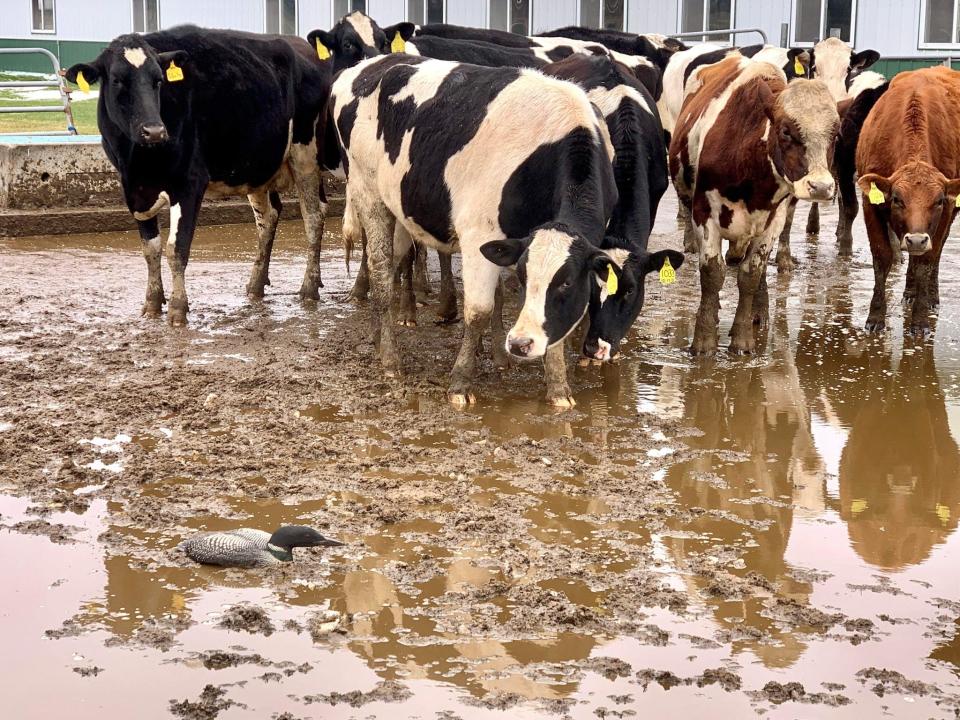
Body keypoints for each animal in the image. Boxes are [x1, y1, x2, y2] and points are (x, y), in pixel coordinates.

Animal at [65, 26, 330, 324]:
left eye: (158, 80)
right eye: (117, 80)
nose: (154, 131)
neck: (139, 160)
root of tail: (301, 44)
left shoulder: (189, 182)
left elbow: (176, 248)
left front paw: (178, 308)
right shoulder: (133, 188)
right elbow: (150, 249)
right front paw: (153, 303)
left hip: (305, 155)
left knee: (313, 216)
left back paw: (309, 287)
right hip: (258, 166)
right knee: (268, 217)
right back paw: (256, 285)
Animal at [668, 57, 840, 356]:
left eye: (836, 134)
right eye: (786, 131)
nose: (820, 186)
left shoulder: (773, 221)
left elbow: (751, 274)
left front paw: (742, 339)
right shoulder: (703, 214)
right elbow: (712, 274)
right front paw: (704, 341)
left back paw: (759, 313)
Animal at [856, 67, 960, 338]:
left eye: (938, 201)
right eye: (897, 199)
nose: (916, 239)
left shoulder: (946, 210)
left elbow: (926, 260)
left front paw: (920, 320)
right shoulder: (869, 204)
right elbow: (882, 257)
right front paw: (875, 317)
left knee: (935, 253)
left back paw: (928, 295)